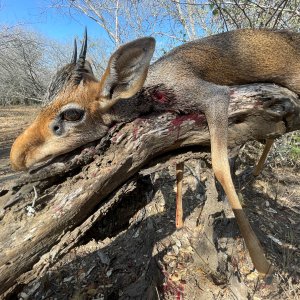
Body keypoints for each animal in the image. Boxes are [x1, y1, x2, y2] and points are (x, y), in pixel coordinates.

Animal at [9, 28, 300, 276]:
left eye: (71, 114)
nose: (15, 156)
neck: (149, 88)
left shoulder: (214, 97)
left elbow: (219, 166)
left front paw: (262, 264)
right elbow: (181, 169)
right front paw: (180, 221)